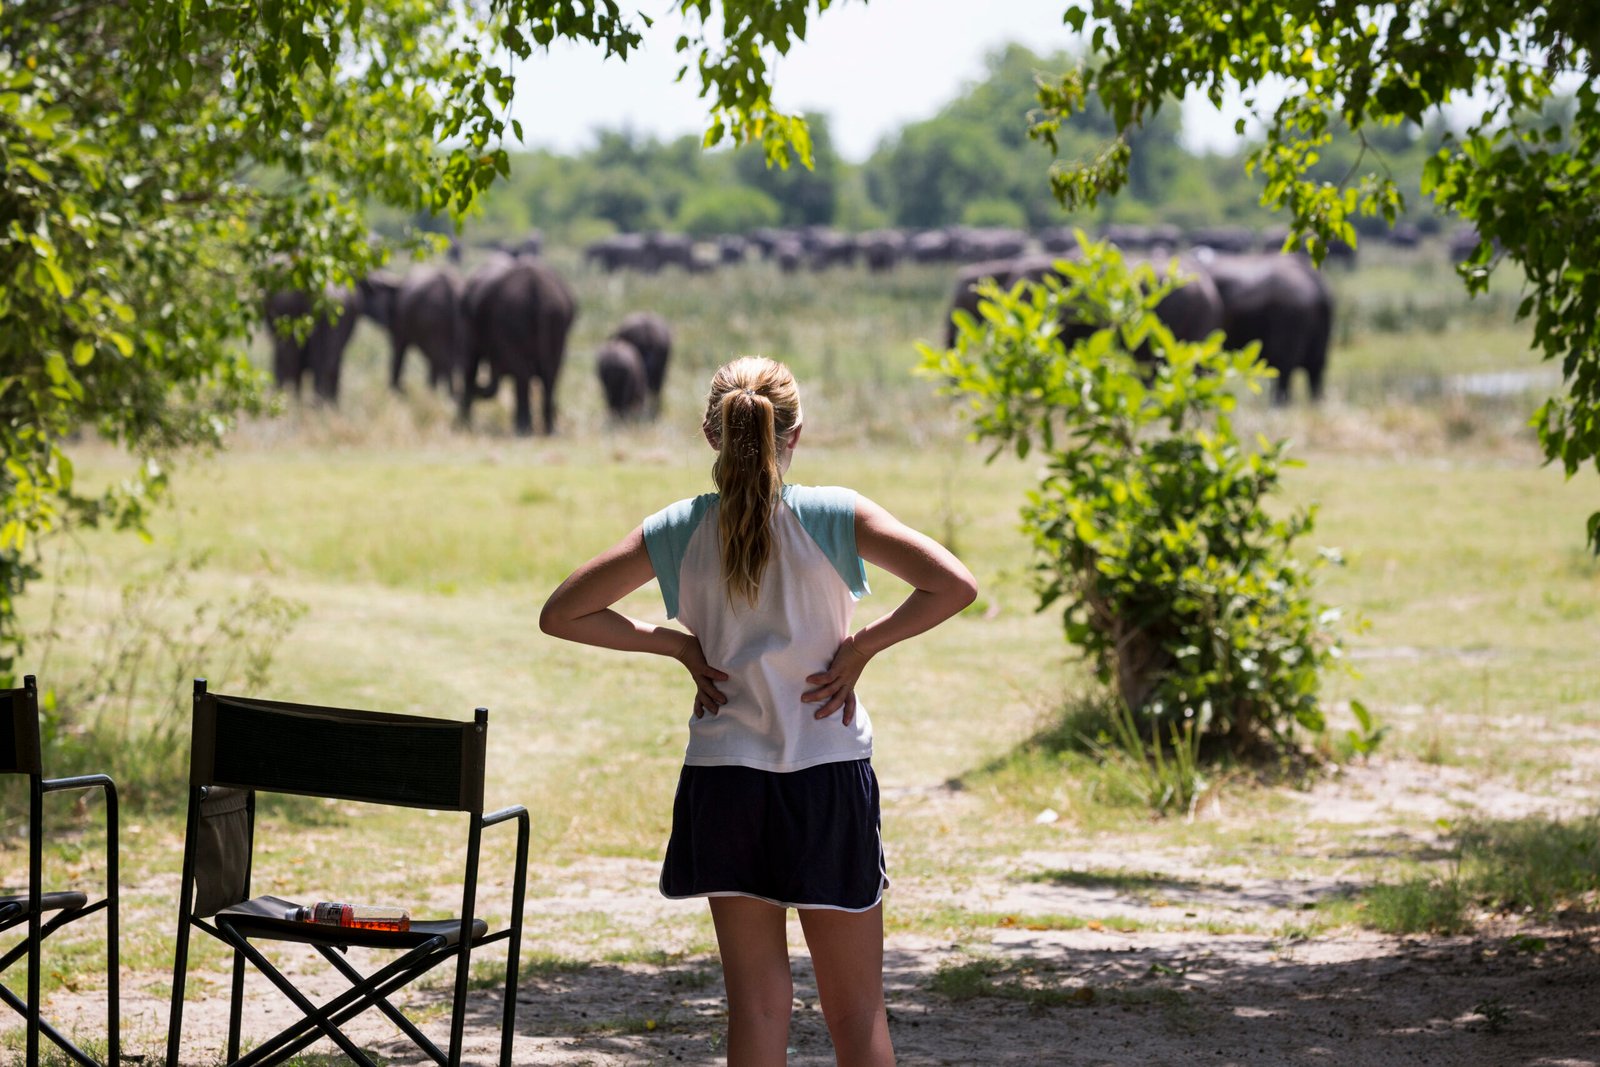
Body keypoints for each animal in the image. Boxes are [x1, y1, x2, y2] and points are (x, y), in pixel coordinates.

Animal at [458, 256, 577, 435]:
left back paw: (523, 429)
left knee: (524, 373)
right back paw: (549, 431)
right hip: (557, 321)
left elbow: (471, 362)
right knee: (551, 373)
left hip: (514, 320)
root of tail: (538, 288)